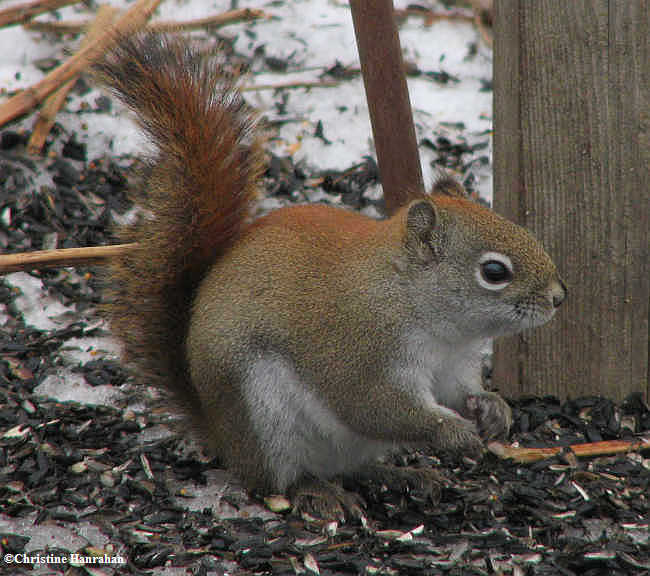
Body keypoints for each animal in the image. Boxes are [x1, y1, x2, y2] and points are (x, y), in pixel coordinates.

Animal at [93, 33, 564, 520]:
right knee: (278, 480)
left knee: (354, 468)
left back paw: (400, 475)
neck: (418, 307)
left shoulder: (452, 367)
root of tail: (221, 436)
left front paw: (492, 409)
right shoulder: (360, 354)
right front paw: (453, 432)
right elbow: (374, 406)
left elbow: (458, 392)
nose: (558, 296)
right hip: (264, 417)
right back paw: (315, 492)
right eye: (494, 272)